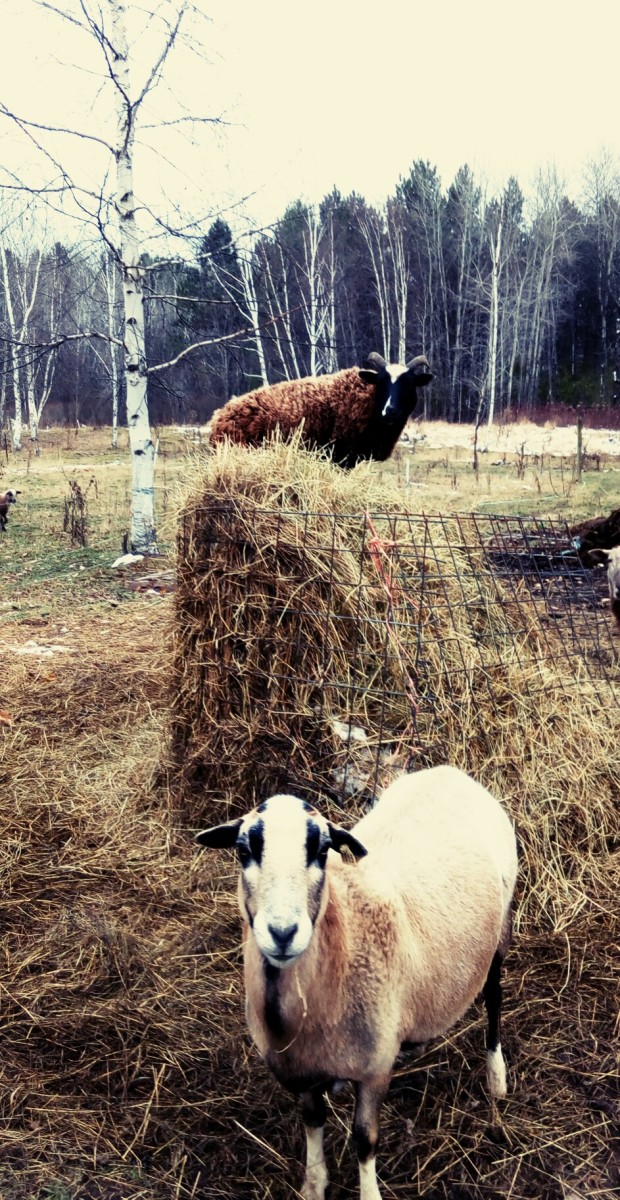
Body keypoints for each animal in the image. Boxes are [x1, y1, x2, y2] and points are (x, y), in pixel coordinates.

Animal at [196, 768, 518, 1200]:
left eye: (321, 850)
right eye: (244, 850)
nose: (282, 933)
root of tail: (450, 773)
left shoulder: (373, 1070)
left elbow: (365, 1139)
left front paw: (368, 1192)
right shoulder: (306, 1068)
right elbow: (313, 1120)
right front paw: (314, 1183)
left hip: (500, 930)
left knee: (495, 999)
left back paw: (496, 1078)